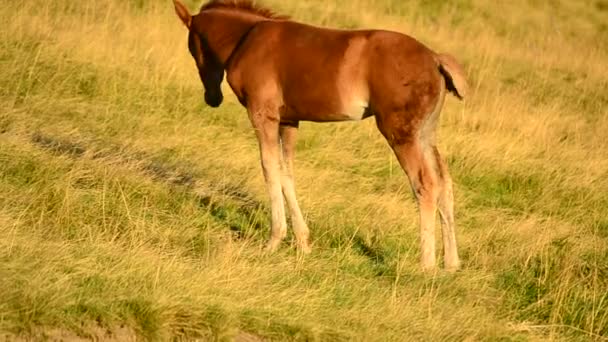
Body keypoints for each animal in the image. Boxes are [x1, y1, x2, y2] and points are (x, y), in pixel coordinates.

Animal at [173, 0, 468, 272]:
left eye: (192, 48)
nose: (212, 98)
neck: (246, 38)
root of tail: (436, 59)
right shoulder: (289, 121)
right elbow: (286, 170)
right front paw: (303, 242)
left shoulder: (262, 115)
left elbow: (269, 168)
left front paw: (274, 240)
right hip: (425, 134)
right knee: (445, 182)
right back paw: (451, 263)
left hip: (400, 134)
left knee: (425, 184)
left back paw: (426, 264)